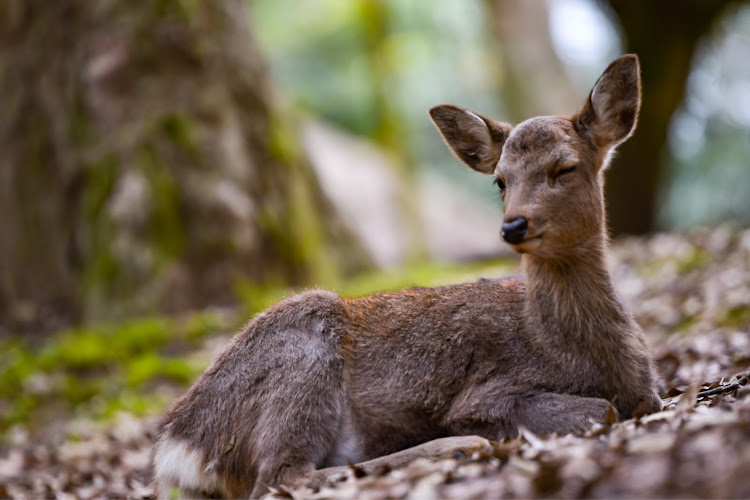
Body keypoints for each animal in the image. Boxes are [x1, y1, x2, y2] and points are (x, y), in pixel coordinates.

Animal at [151, 52, 664, 498]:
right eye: (500, 180)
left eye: (565, 167)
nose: (513, 225)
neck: (573, 349)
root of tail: (179, 446)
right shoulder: (489, 393)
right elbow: (601, 408)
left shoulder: (648, 386)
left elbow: (648, 401)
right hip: (302, 355)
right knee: (281, 477)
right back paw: (449, 448)